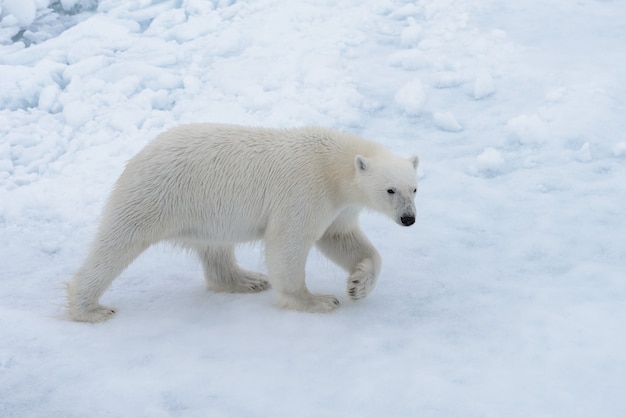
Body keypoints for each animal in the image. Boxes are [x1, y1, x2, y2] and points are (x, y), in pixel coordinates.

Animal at [66, 122, 416, 322]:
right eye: (390, 190)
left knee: (216, 248)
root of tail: (138, 156)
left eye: (414, 187)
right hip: (156, 196)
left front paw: (358, 284)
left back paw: (247, 280)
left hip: (204, 211)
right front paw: (317, 300)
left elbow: (341, 238)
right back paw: (90, 308)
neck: (333, 165)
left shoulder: (339, 205)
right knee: (117, 243)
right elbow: (287, 243)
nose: (409, 218)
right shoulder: (306, 191)